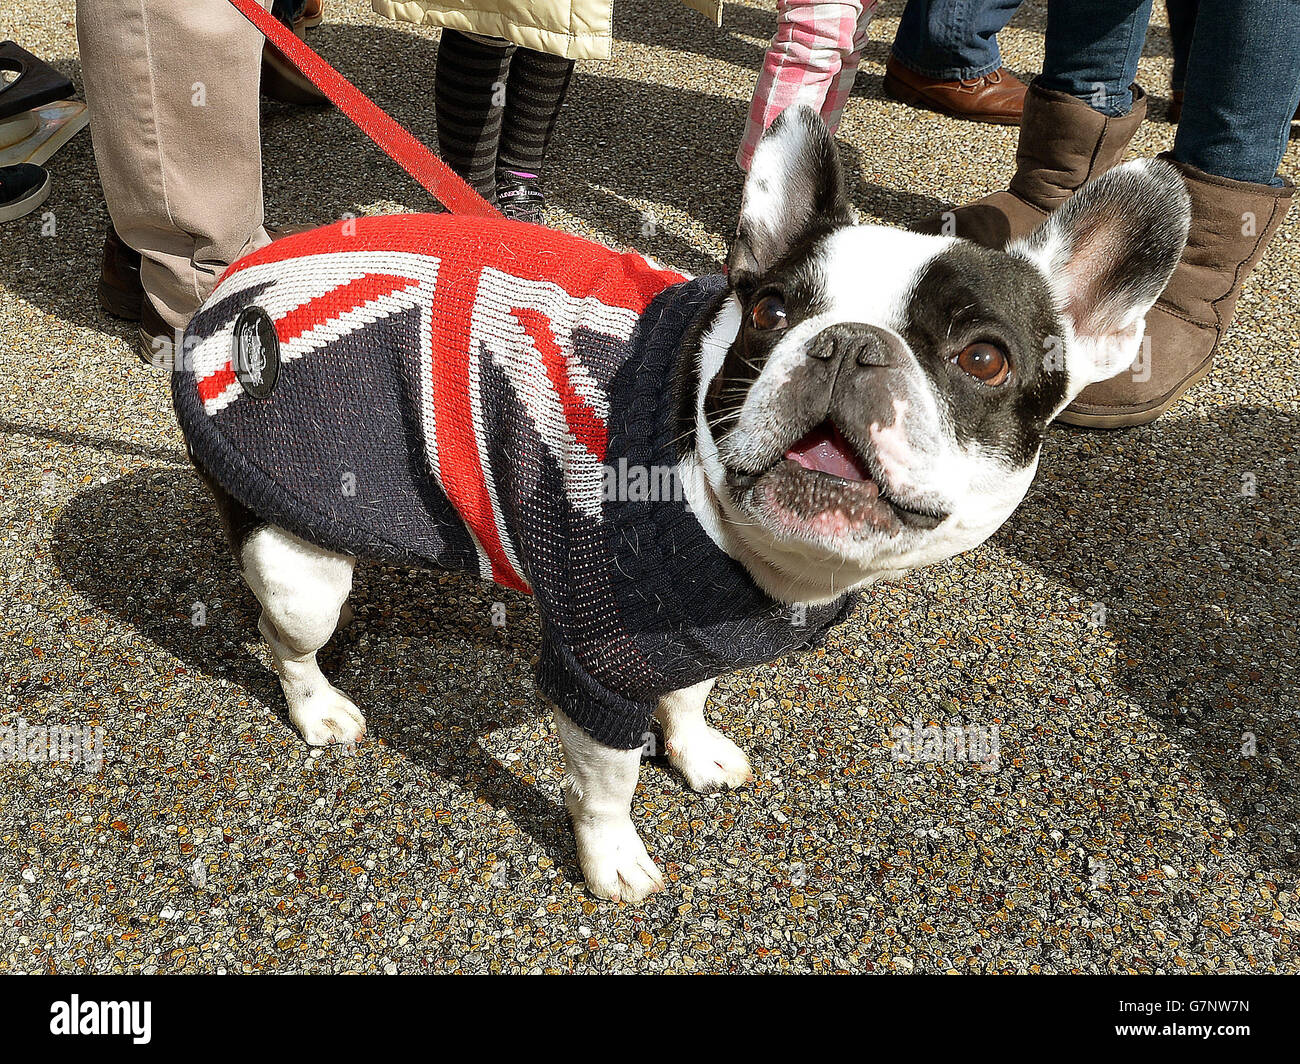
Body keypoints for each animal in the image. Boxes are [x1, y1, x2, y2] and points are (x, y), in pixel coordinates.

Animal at [172, 107, 1190, 900]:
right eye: (773, 312)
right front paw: (612, 860)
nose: (849, 344)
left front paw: (695, 750)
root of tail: (228, 296)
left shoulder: (695, 629)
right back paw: (318, 710)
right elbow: (607, 785)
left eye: (983, 358)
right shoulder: (601, 668)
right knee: (282, 636)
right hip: (295, 564)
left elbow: (692, 694)